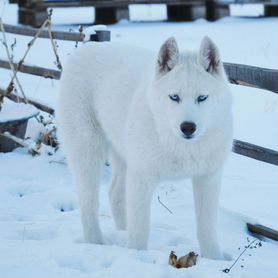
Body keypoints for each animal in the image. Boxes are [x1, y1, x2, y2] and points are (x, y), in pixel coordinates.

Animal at [58, 35, 232, 260]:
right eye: (174, 97)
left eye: (202, 98)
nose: (188, 127)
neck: (182, 147)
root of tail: (87, 47)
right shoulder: (142, 178)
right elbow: (140, 228)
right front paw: (136, 256)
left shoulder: (208, 178)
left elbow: (207, 228)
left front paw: (214, 260)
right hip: (88, 152)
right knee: (89, 202)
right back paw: (96, 242)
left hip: (123, 155)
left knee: (115, 194)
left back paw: (121, 233)